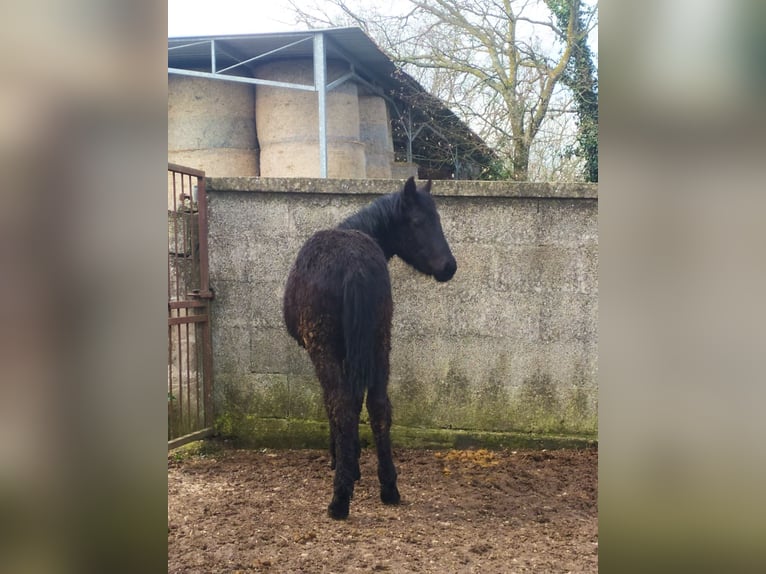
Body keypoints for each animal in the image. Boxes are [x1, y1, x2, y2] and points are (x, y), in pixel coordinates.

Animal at [283, 176, 457, 519]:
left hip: (326, 349)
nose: (449, 267)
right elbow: (359, 400)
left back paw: (339, 500)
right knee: (379, 406)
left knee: (340, 404)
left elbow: (337, 405)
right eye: (418, 221)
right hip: (379, 343)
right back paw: (388, 487)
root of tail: (355, 266)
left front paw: (343, 463)